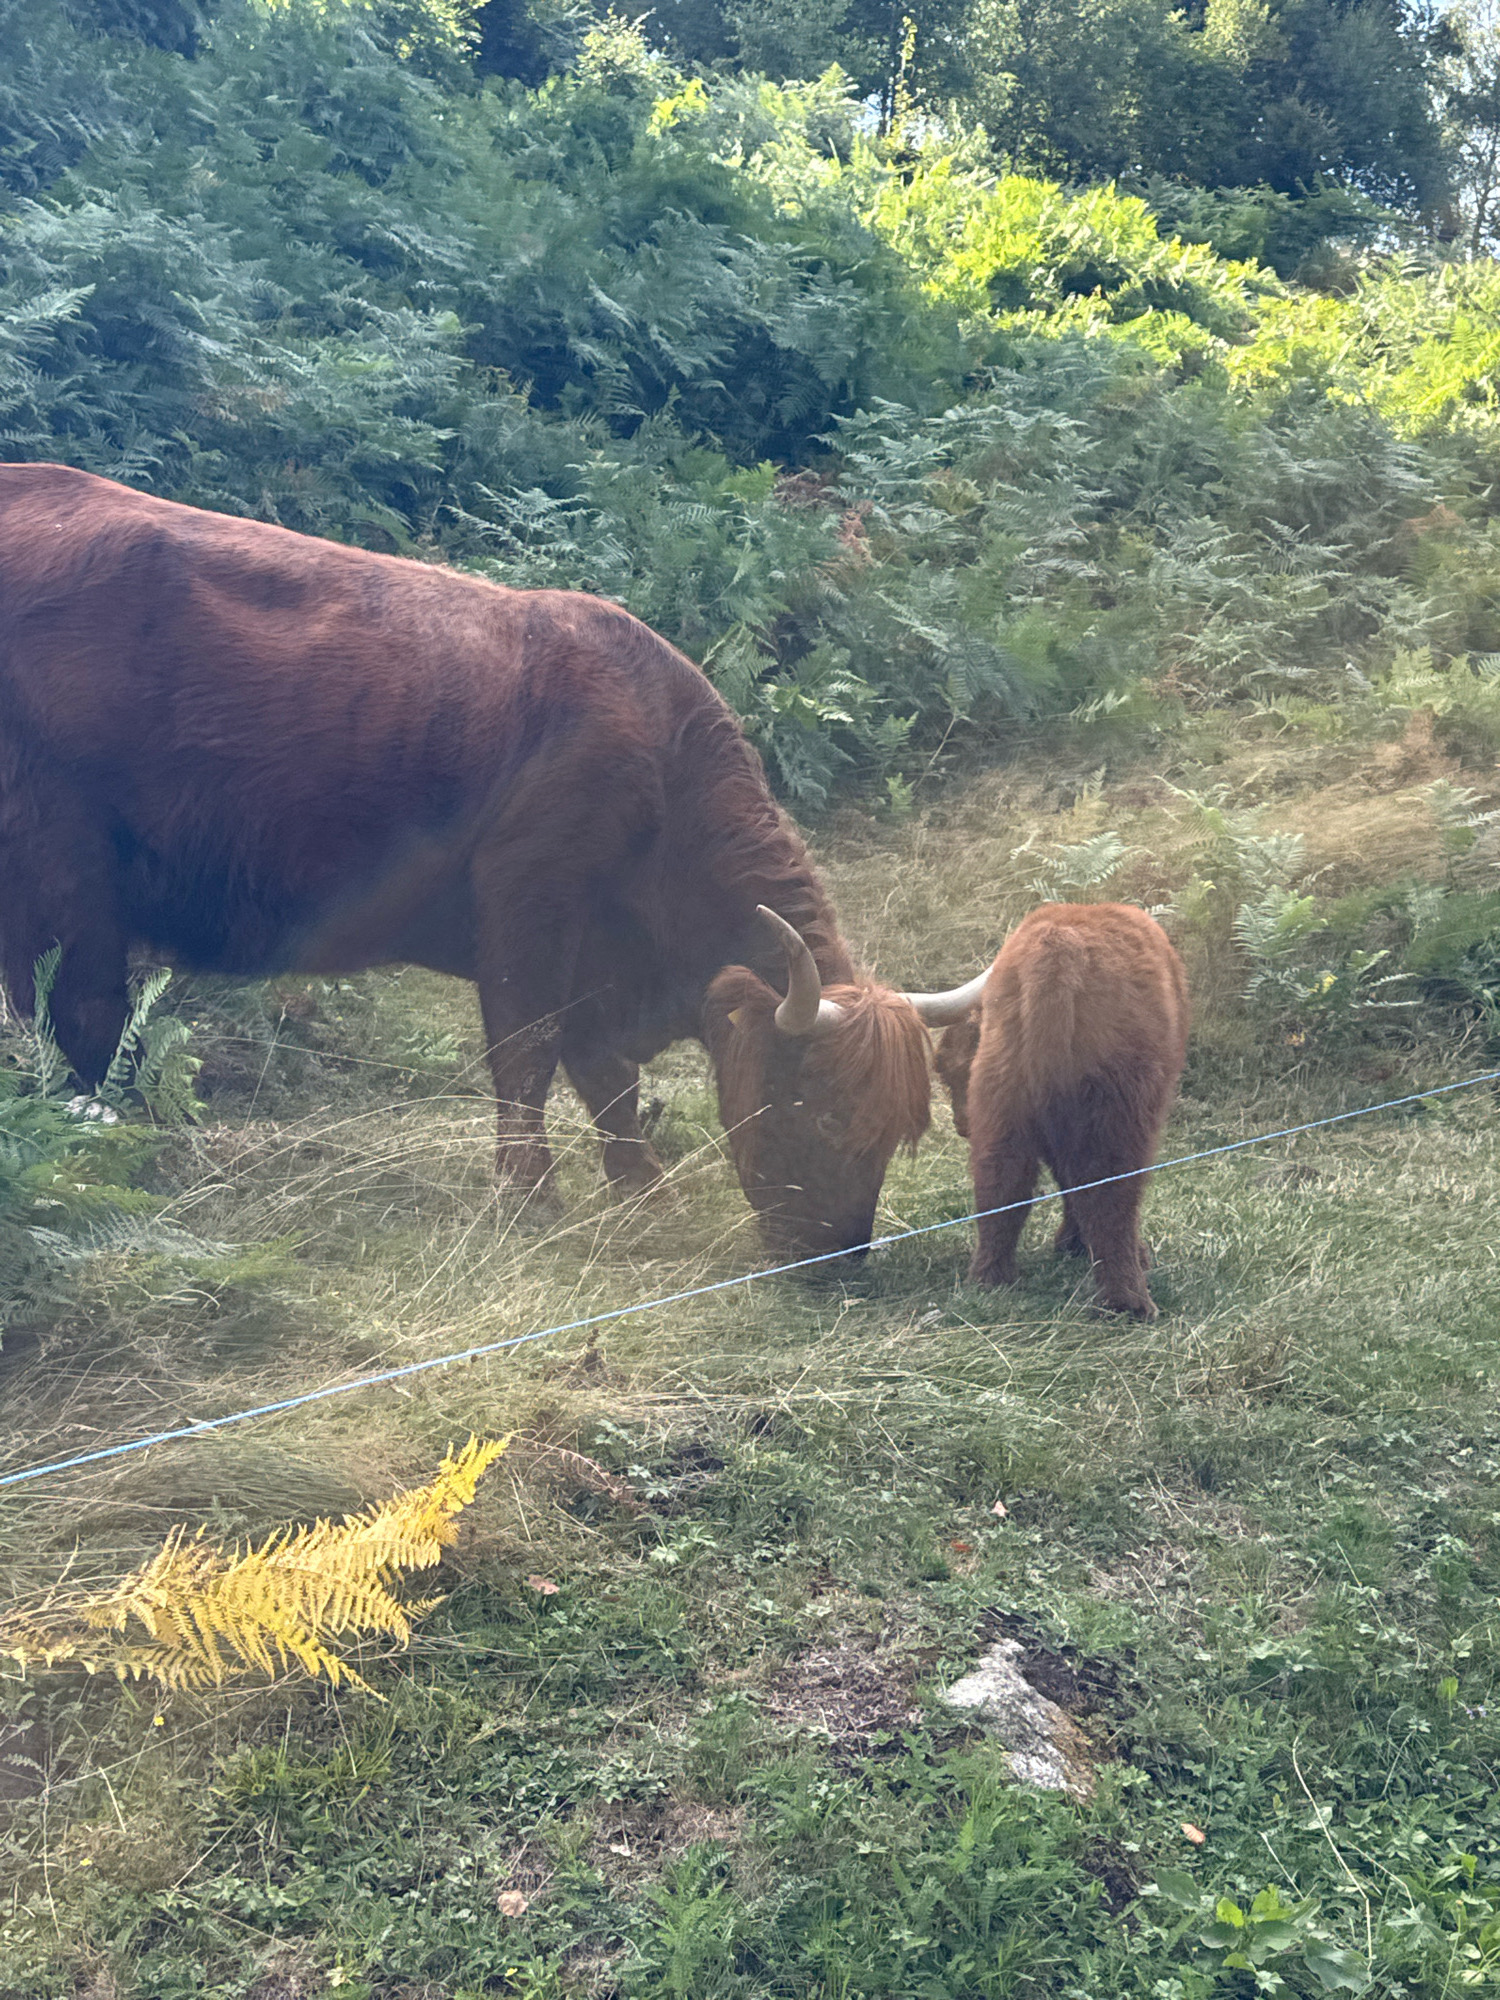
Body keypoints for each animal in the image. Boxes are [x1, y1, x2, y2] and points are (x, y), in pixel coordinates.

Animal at [0, 463, 936, 1259]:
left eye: (896, 1133)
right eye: (821, 1112)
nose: (841, 1253)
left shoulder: (594, 958)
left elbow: (606, 1078)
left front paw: (641, 1186)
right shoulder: (533, 898)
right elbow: (528, 1049)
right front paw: (529, 1193)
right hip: (61, 879)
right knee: (78, 1017)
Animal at [904, 903, 1189, 1317]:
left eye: (951, 1072)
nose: (961, 1125)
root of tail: (1057, 948)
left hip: (1003, 1101)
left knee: (1001, 1183)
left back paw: (990, 1280)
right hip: (1118, 1112)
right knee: (1111, 1189)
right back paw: (1129, 1301)